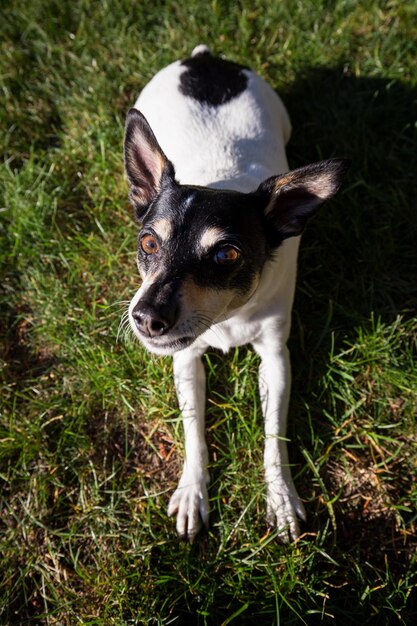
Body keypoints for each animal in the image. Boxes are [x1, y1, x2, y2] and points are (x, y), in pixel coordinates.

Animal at [122, 45, 348, 540]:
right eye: (148, 243)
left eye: (226, 255)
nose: (146, 318)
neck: (226, 320)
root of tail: (206, 58)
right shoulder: (186, 361)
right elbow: (194, 432)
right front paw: (193, 491)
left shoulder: (276, 359)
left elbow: (274, 435)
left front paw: (280, 497)